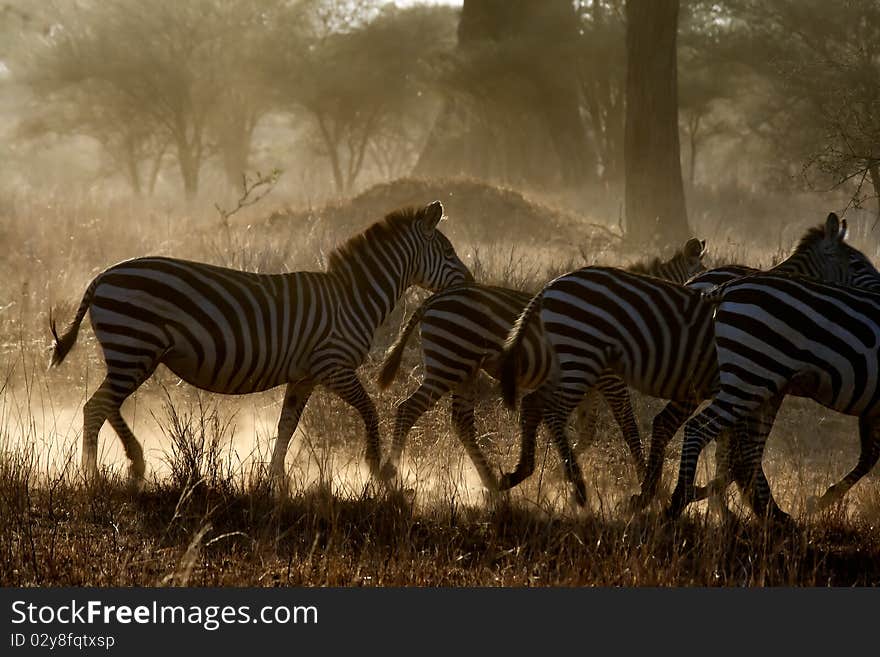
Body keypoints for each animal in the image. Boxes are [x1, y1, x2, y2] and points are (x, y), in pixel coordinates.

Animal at [48, 200, 474, 486]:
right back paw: (94, 476)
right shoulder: (333, 365)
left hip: (135, 353)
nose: (471, 284)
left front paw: (276, 480)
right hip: (134, 347)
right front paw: (376, 468)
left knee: (104, 405)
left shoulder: (304, 376)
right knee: (96, 407)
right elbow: (369, 409)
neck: (353, 297)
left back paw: (132, 462)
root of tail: (102, 276)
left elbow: (288, 425)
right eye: (449, 251)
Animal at [376, 236, 708, 486]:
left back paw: (491, 483)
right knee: (408, 409)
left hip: (463, 369)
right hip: (448, 364)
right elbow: (628, 426)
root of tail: (433, 299)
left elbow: (588, 433)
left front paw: (555, 475)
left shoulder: (593, 383)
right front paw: (650, 484)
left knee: (460, 421)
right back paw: (392, 471)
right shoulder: (610, 379)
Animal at [498, 213, 868, 504]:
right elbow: (732, 448)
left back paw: (522, 472)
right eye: (857, 264)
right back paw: (576, 486)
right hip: (586, 364)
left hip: (573, 364)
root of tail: (550, 286)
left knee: (534, 404)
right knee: (560, 411)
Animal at [668, 272, 880, 524]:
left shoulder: (873, 410)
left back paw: (770, 513)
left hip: (763, 383)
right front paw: (821, 502)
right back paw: (679, 500)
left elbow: (869, 456)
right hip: (751, 376)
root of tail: (728, 287)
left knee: (747, 449)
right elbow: (870, 456)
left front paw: (821, 500)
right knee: (700, 429)